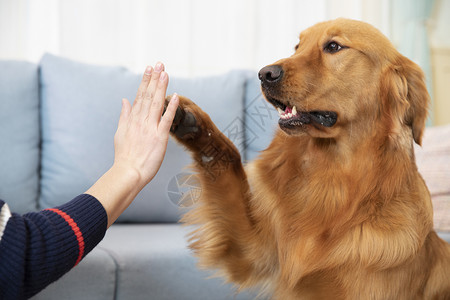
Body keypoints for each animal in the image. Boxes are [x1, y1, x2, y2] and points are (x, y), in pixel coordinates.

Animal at [166, 18, 450, 298]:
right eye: (297, 46)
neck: (331, 176)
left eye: (333, 46)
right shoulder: (256, 251)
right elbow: (229, 160)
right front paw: (192, 121)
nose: (265, 73)